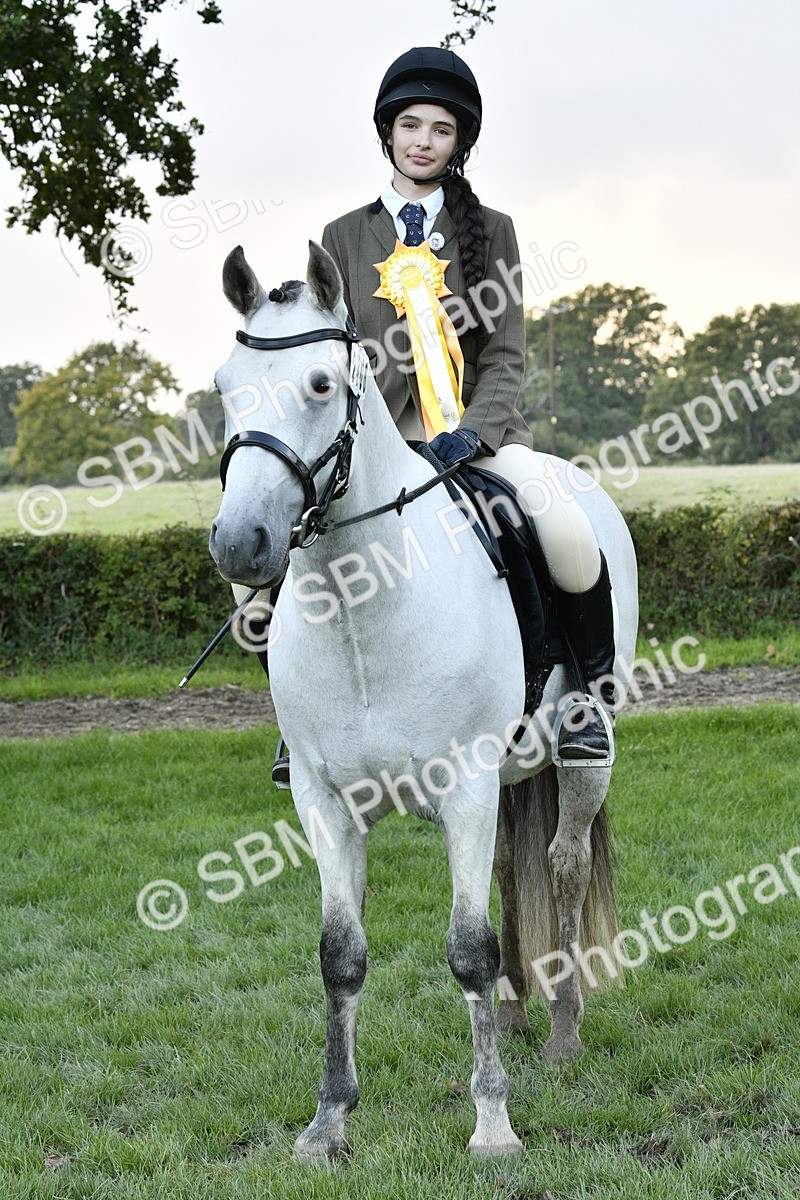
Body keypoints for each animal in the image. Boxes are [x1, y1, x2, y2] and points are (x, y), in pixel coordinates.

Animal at [209, 241, 639, 1160]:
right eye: (225, 384)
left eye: (321, 385)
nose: (240, 543)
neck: (362, 609)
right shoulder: (324, 800)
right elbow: (340, 955)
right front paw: (327, 1123)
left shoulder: (466, 785)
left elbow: (468, 948)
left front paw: (493, 1124)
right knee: (514, 868)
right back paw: (515, 1012)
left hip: (579, 753)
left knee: (562, 863)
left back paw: (562, 1025)